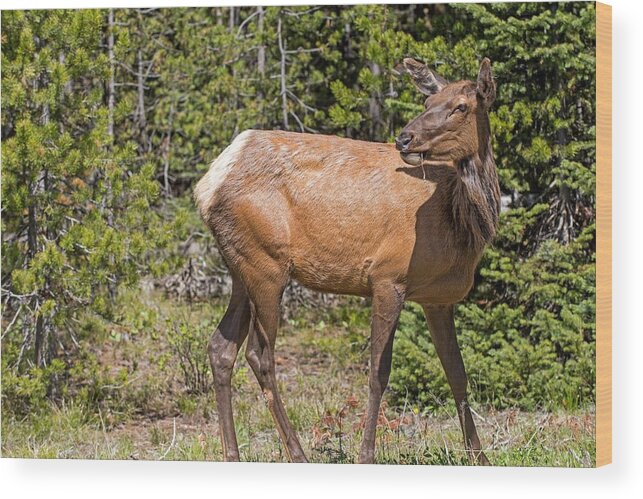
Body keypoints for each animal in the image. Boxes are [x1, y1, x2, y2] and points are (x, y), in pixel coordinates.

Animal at [194, 55, 500, 464]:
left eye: (461, 106)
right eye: (426, 102)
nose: (404, 138)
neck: (461, 224)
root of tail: (208, 184)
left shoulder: (437, 298)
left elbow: (457, 373)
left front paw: (479, 456)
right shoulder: (387, 278)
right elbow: (378, 372)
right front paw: (366, 454)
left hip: (239, 268)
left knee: (220, 347)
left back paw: (233, 454)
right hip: (266, 266)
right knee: (260, 355)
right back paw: (298, 454)